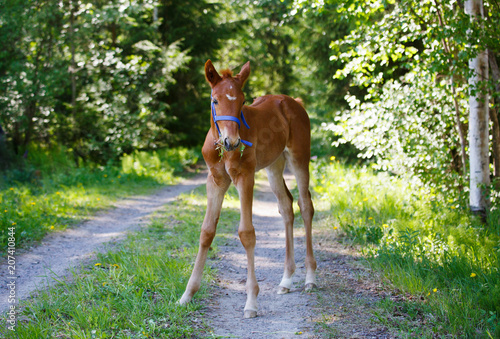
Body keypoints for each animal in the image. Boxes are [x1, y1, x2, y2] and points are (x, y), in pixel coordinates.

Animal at [178, 59, 314, 318]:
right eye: (215, 100)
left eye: (242, 101)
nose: (232, 141)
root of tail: (293, 102)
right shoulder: (215, 181)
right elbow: (206, 231)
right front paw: (187, 294)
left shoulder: (245, 177)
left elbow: (247, 233)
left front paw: (251, 302)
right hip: (274, 166)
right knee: (286, 206)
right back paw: (286, 280)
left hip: (299, 158)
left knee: (305, 206)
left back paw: (310, 277)